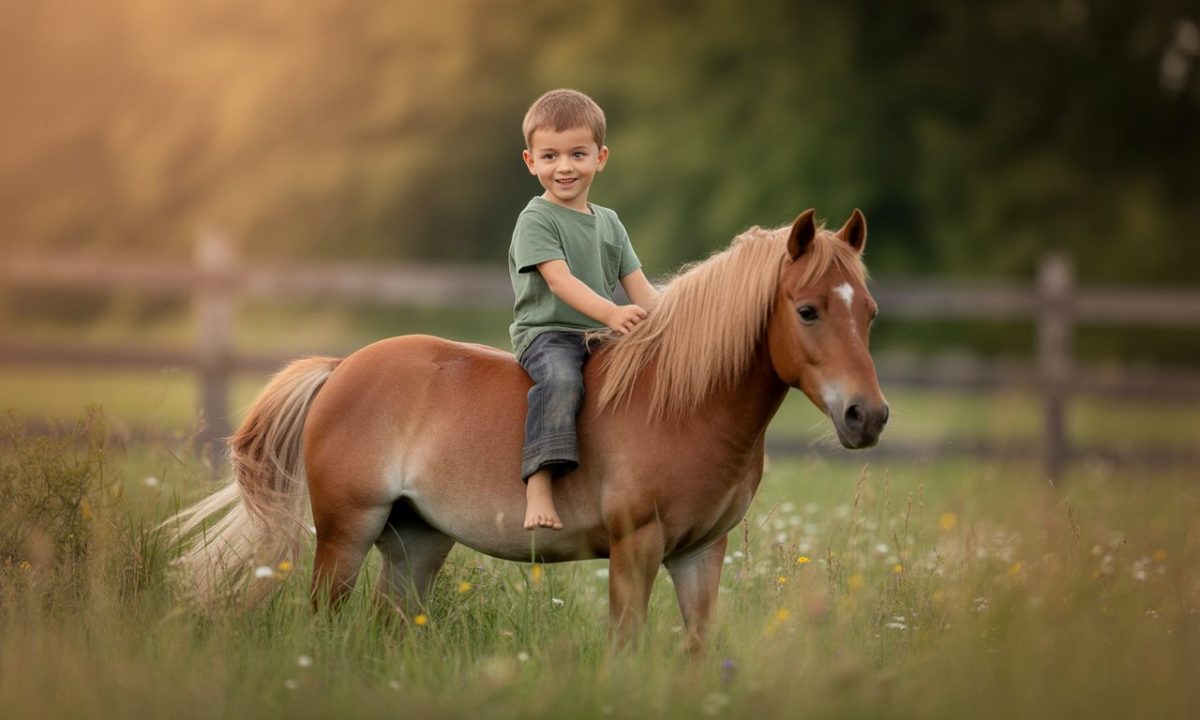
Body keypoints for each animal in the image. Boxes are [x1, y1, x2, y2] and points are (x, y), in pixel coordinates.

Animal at [165, 208, 889, 650]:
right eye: (807, 310)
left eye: (871, 312)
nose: (869, 416)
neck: (683, 405)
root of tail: (342, 368)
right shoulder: (635, 547)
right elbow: (625, 646)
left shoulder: (701, 552)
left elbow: (696, 650)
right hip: (347, 533)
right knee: (323, 624)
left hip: (415, 543)